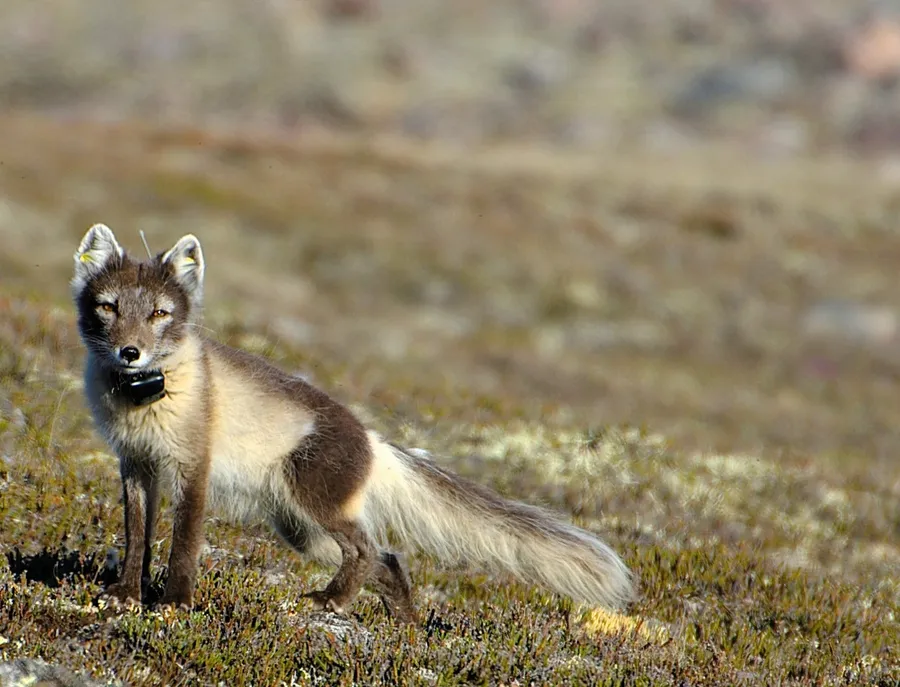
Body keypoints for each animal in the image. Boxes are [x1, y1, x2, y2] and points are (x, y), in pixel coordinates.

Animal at [71, 223, 634, 622]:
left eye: (160, 313)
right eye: (109, 306)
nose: (130, 352)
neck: (144, 399)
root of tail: (374, 440)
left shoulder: (193, 466)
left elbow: (184, 543)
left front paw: (173, 602)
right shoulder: (136, 465)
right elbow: (138, 536)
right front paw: (125, 594)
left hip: (313, 501)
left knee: (367, 550)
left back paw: (332, 602)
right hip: (301, 528)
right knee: (390, 559)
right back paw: (403, 623)